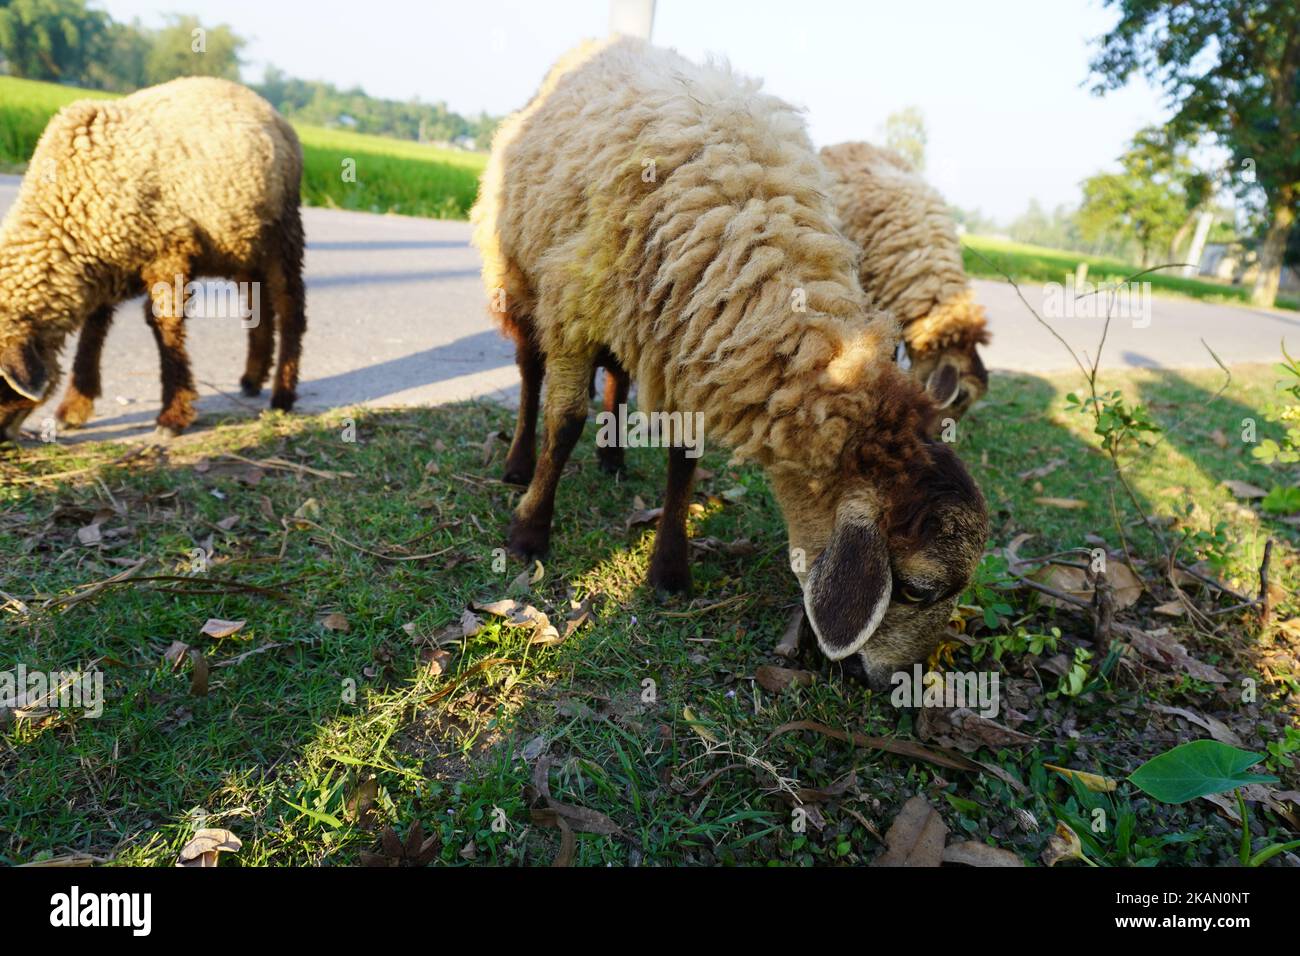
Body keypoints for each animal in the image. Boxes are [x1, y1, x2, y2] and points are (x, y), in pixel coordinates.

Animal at [0, 77, 306, 442]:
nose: (2, 439)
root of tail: (266, 106)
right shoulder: (105, 263)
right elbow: (93, 330)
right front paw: (73, 409)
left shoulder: (168, 251)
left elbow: (164, 326)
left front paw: (172, 415)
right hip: (241, 242)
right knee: (258, 306)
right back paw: (252, 378)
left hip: (283, 231)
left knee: (290, 309)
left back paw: (282, 397)